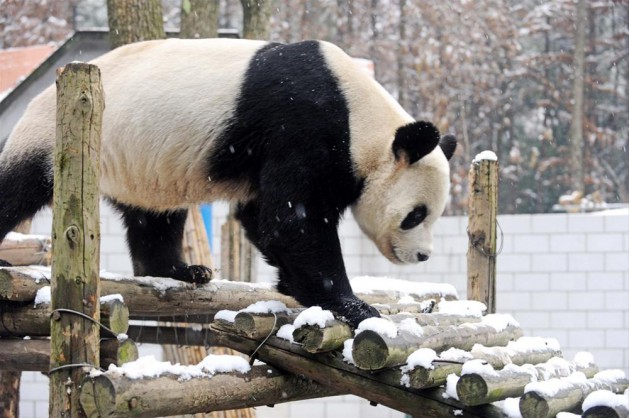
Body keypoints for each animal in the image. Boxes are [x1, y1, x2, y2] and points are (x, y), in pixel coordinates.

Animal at [0, 37, 454, 326]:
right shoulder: (304, 124)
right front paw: (352, 305)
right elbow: (293, 218)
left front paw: (294, 285)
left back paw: (182, 270)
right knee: (18, 187)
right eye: (416, 215)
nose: (423, 256)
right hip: (57, 137)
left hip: (136, 160)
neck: (361, 117)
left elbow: (262, 217)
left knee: (154, 216)